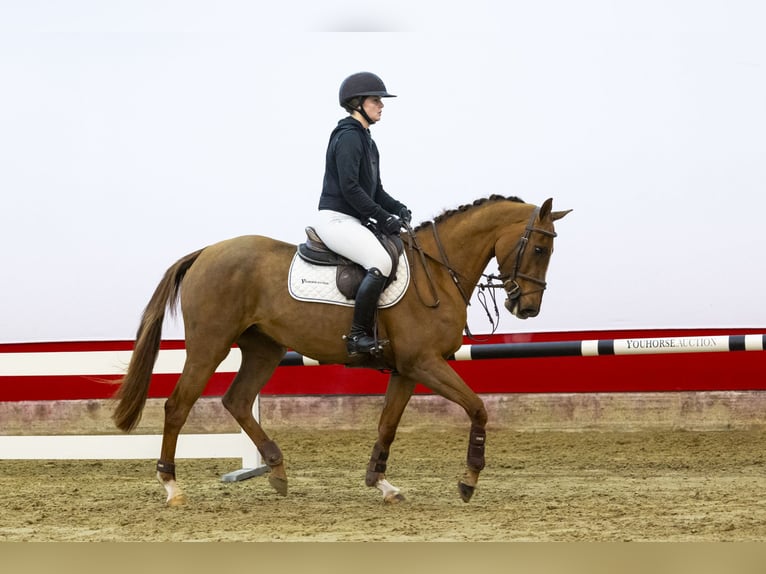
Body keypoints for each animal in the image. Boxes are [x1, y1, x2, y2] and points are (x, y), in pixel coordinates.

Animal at [112, 196, 568, 506]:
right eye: (540, 248)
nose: (527, 308)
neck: (437, 270)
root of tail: (205, 252)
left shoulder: (407, 369)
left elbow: (387, 424)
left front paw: (382, 483)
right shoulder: (425, 363)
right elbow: (478, 408)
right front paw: (468, 480)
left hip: (264, 349)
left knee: (237, 401)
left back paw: (277, 470)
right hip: (210, 346)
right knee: (178, 406)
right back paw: (172, 487)